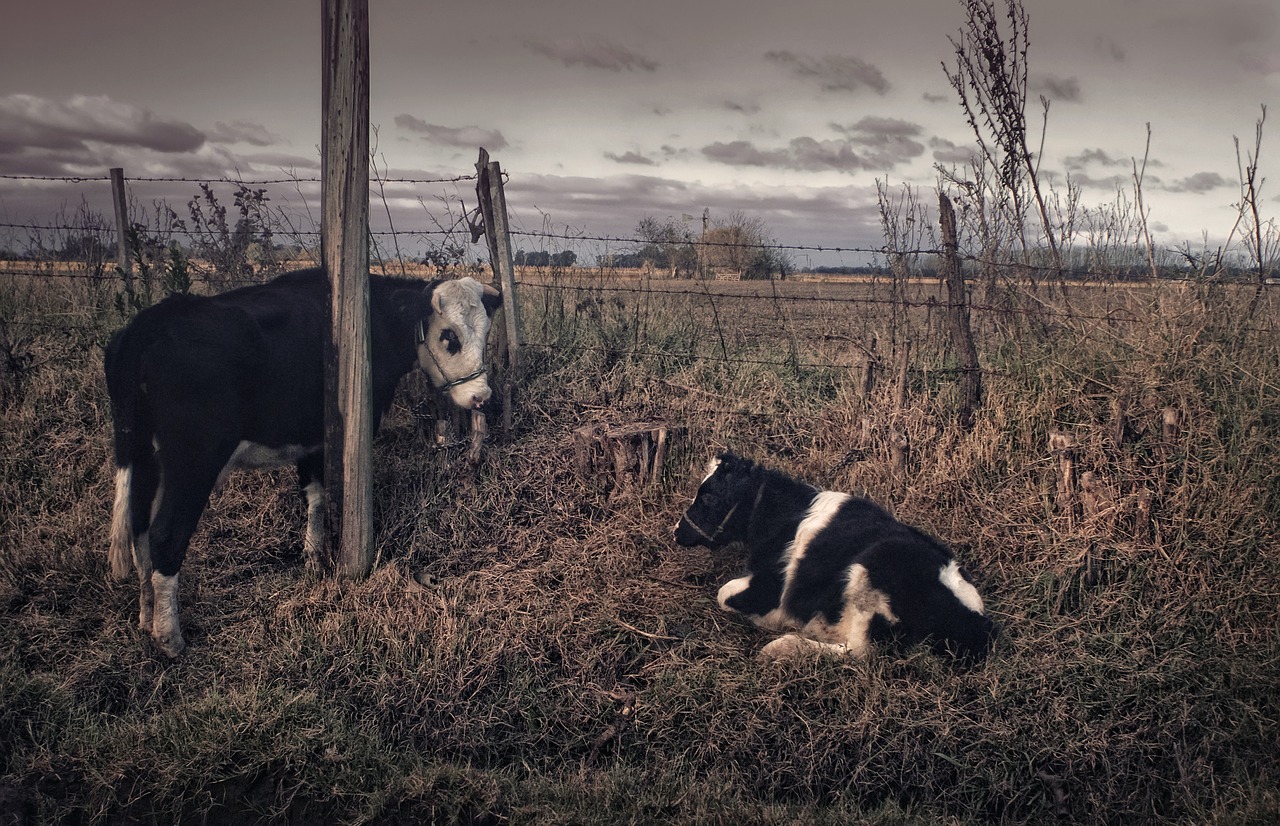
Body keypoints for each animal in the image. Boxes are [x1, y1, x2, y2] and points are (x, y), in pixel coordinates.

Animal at [103, 267, 499, 653]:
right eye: (448, 336)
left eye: (485, 335)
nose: (481, 396)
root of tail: (151, 321)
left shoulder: (310, 441)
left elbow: (314, 496)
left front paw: (312, 559)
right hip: (192, 462)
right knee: (165, 536)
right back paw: (170, 638)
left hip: (142, 457)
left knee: (139, 531)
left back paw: (146, 616)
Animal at [675, 453, 993, 660]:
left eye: (709, 497)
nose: (677, 531)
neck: (785, 516)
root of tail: (981, 623)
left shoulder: (770, 588)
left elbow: (724, 595)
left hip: (870, 572)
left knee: (860, 654)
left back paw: (783, 647)